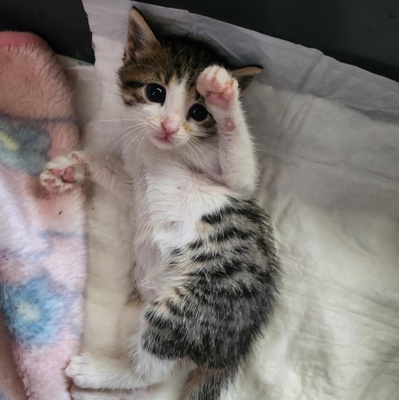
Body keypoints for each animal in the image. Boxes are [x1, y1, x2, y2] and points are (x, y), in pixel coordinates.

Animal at [39, 7, 282, 400]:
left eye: (199, 112)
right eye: (155, 92)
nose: (169, 126)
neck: (160, 151)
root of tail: (233, 350)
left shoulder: (236, 183)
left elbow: (241, 165)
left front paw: (223, 92)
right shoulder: (135, 184)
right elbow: (116, 177)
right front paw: (68, 169)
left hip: (186, 305)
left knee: (150, 372)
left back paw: (92, 371)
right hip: (139, 306)